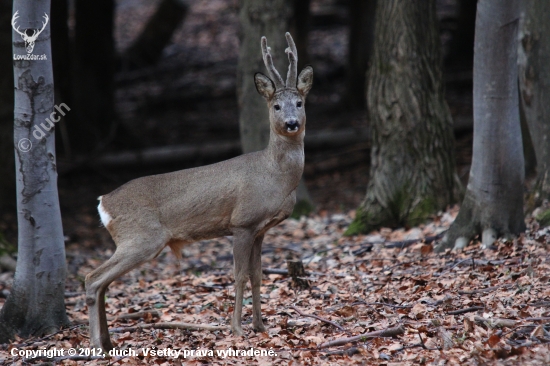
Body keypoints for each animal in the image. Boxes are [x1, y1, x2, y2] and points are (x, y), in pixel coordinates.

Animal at [84, 32, 312, 348]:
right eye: (276, 106)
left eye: (299, 102)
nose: (291, 123)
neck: (274, 176)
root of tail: (103, 202)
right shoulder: (242, 223)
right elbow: (239, 276)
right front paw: (237, 329)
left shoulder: (260, 229)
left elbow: (257, 275)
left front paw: (260, 326)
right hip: (141, 237)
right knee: (92, 278)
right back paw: (96, 344)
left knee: (103, 282)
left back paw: (107, 342)